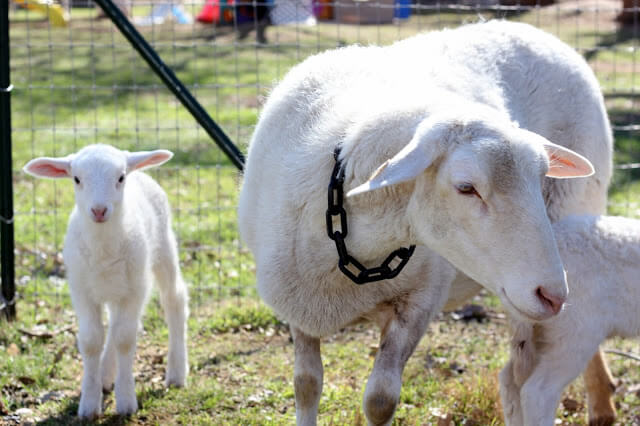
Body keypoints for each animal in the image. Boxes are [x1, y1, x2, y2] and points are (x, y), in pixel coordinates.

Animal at [23, 145, 189, 418]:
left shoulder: (134, 290)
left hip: (163, 247)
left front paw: (126, 401)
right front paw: (90, 403)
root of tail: (139, 170)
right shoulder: (81, 290)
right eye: (76, 179)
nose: (99, 211)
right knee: (113, 324)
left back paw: (176, 372)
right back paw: (105, 375)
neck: (103, 249)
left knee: (174, 299)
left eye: (120, 178)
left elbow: (125, 339)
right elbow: (91, 341)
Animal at [240, 20, 616, 426]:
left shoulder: (419, 304)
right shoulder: (299, 307)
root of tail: (533, 31)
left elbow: (380, 401)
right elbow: (306, 385)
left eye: (539, 175)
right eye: (466, 187)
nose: (552, 294)